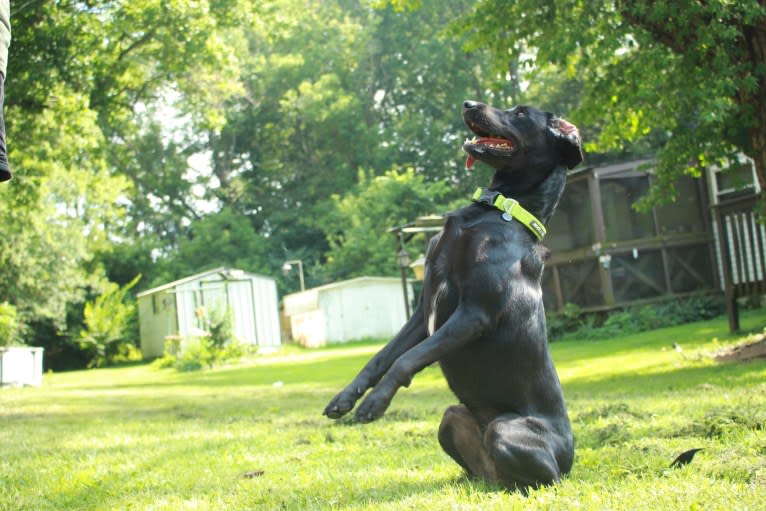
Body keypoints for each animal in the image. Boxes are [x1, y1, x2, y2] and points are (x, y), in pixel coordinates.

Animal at [322, 100, 584, 492]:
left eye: (521, 113)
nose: (469, 104)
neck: (499, 211)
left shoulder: (474, 313)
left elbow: (406, 360)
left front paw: (375, 404)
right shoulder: (422, 313)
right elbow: (381, 358)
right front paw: (345, 399)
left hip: (506, 432)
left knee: (546, 478)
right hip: (450, 418)